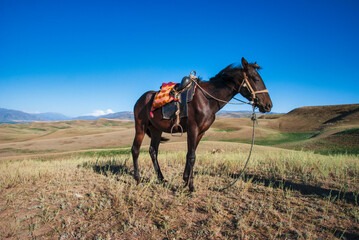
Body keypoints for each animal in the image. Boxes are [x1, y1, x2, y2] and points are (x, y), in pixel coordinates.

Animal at [132, 57, 272, 191]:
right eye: (255, 79)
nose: (268, 105)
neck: (207, 99)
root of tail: (141, 99)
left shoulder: (201, 132)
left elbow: (190, 154)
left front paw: (185, 180)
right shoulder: (193, 129)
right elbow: (192, 156)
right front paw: (191, 186)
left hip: (156, 129)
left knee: (153, 151)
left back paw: (162, 179)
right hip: (140, 127)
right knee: (135, 150)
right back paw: (138, 180)